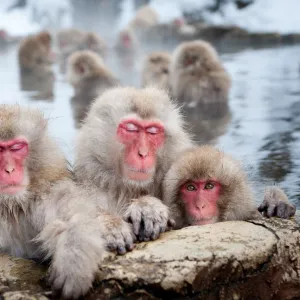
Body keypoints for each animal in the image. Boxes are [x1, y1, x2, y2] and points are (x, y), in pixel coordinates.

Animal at [0, 105, 109, 298]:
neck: (9, 205)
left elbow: (73, 216)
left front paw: (73, 259)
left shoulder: (46, 194)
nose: (9, 170)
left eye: (17, 148)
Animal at [74, 85, 192, 247]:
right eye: (131, 129)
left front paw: (148, 206)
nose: (143, 153)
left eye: (152, 132)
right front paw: (110, 224)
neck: (129, 189)